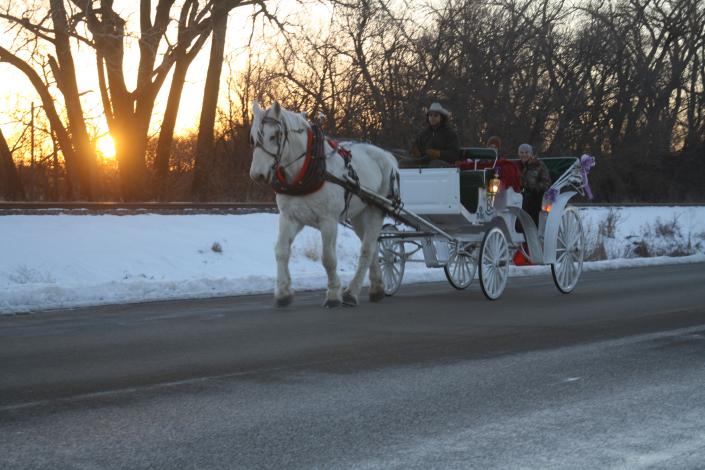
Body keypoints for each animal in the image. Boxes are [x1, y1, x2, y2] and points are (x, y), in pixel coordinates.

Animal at [250, 102, 398, 308]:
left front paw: (333, 294)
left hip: (376, 209)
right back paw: (376, 288)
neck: (306, 169)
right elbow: (281, 251)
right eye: (252, 138)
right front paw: (283, 292)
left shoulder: (328, 221)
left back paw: (351, 293)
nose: (257, 174)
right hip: (359, 216)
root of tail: (387, 156)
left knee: (367, 250)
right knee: (373, 247)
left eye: (274, 135)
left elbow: (328, 258)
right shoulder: (290, 218)